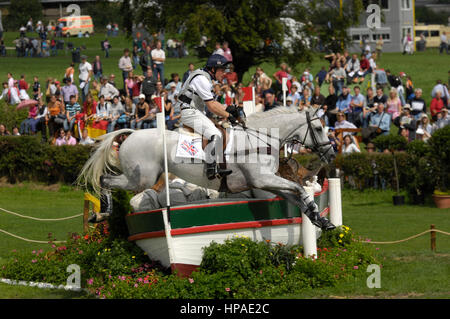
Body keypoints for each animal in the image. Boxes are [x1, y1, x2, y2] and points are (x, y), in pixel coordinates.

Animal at [78, 107, 338, 230]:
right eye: (318, 128)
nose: (331, 153)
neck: (260, 138)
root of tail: (132, 133)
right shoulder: (262, 180)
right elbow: (299, 189)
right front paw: (315, 212)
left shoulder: (267, 182)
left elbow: (296, 195)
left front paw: (319, 219)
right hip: (140, 179)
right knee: (104, 180)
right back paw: (101, 213)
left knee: (105, 180)